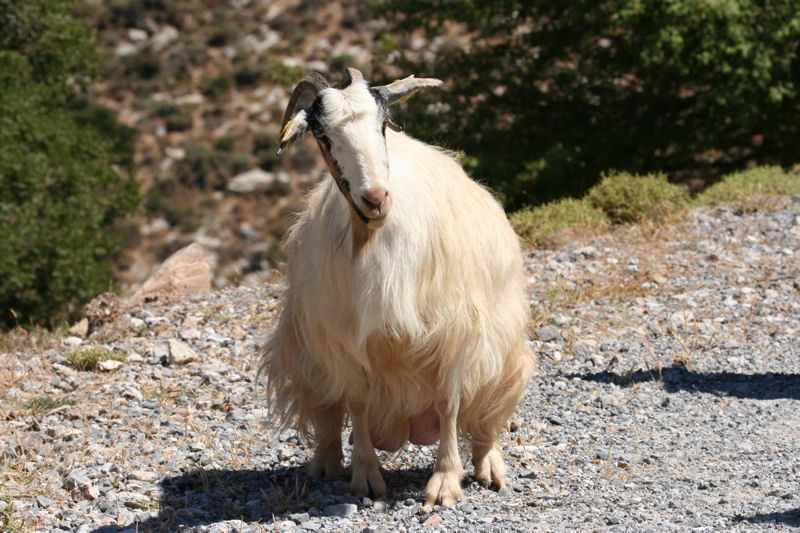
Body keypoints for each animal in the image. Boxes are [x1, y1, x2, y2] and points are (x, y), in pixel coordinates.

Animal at [260, 68, 535, 507]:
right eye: (323, 135)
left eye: (383, 123)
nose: (375, 198)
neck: (374, 239)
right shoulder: (342, 341)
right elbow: (355, 403)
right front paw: (366, 476)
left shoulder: (455, 331)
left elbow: (450, 403)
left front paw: (445, 482)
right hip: (305, 354)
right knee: (327, 411)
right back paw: (326, 462)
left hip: (505, 354)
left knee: (485, 415)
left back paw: (489, 465)